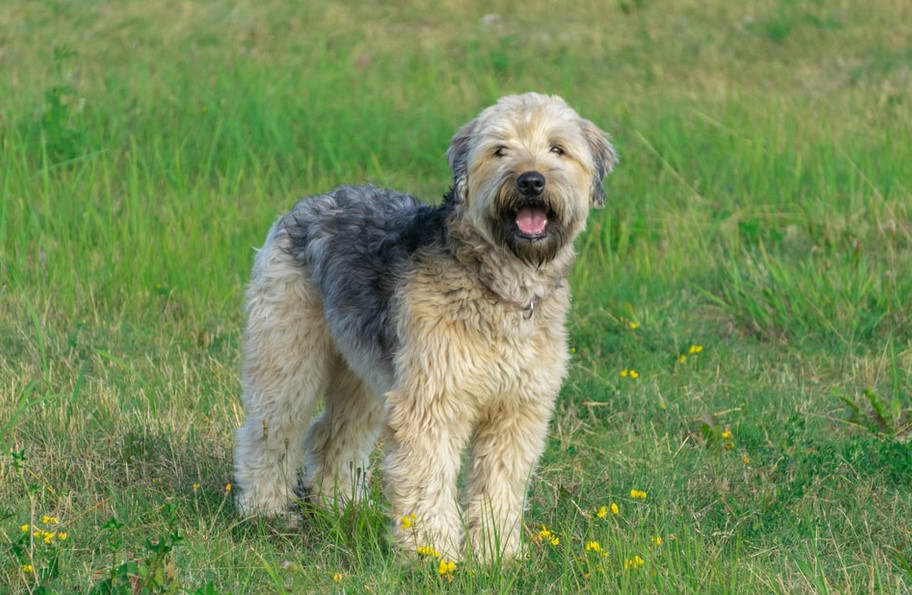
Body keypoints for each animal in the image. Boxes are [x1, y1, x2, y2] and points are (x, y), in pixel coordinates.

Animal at [235, 91, 620, 560]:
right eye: (500, 150)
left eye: (557, 149)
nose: (531, 181)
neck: (499, 283)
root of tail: (305, 205)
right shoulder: (432, 397)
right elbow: (427, 479)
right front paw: (432, 554)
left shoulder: (517, 408)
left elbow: (500, 485)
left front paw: (496, 554)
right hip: (288, 354)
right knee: (270, 431)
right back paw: (266, 510)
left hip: (366, 373)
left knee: (331, 435)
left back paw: (341, 507)